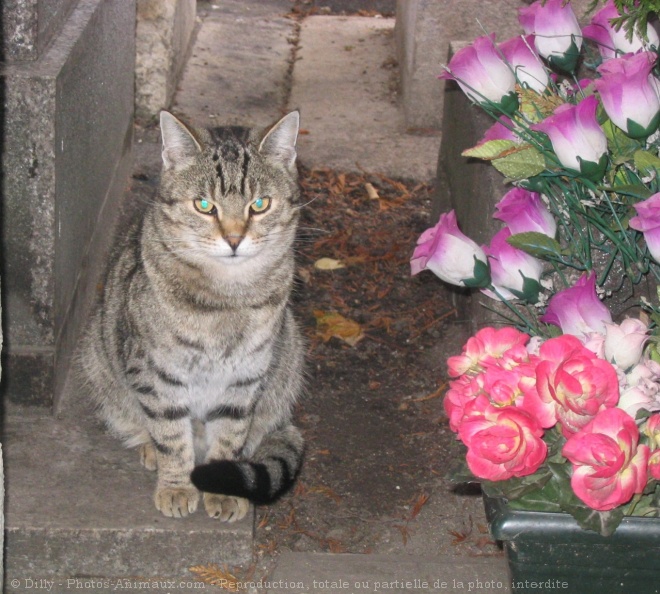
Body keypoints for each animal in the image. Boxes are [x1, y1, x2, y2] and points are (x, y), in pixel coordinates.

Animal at [78, 110, 306, 520]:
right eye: (204, 205)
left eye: (259, 204)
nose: (234, 239)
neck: (227, 297)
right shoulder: (156, 373)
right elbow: (171, 435)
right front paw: (175, 486)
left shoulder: (246, 377)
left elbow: (230, 435)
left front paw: (221, 487)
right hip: (98, 360)